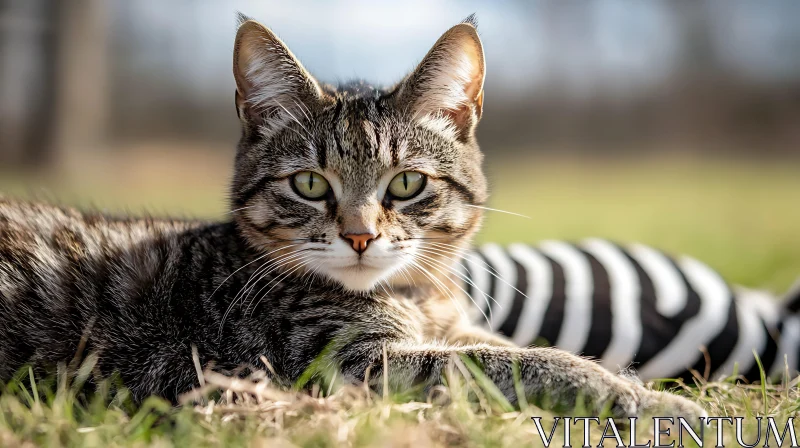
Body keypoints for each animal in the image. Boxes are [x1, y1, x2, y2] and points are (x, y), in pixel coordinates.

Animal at [0, 14, 704, 420]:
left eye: (407, 183)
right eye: (310, 184)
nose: (360, 235)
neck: (419, 295)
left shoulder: (444, 330)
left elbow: (517, 346)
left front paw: (639, 382)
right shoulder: (344, 363)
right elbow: (518, 361)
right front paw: (638, 398)